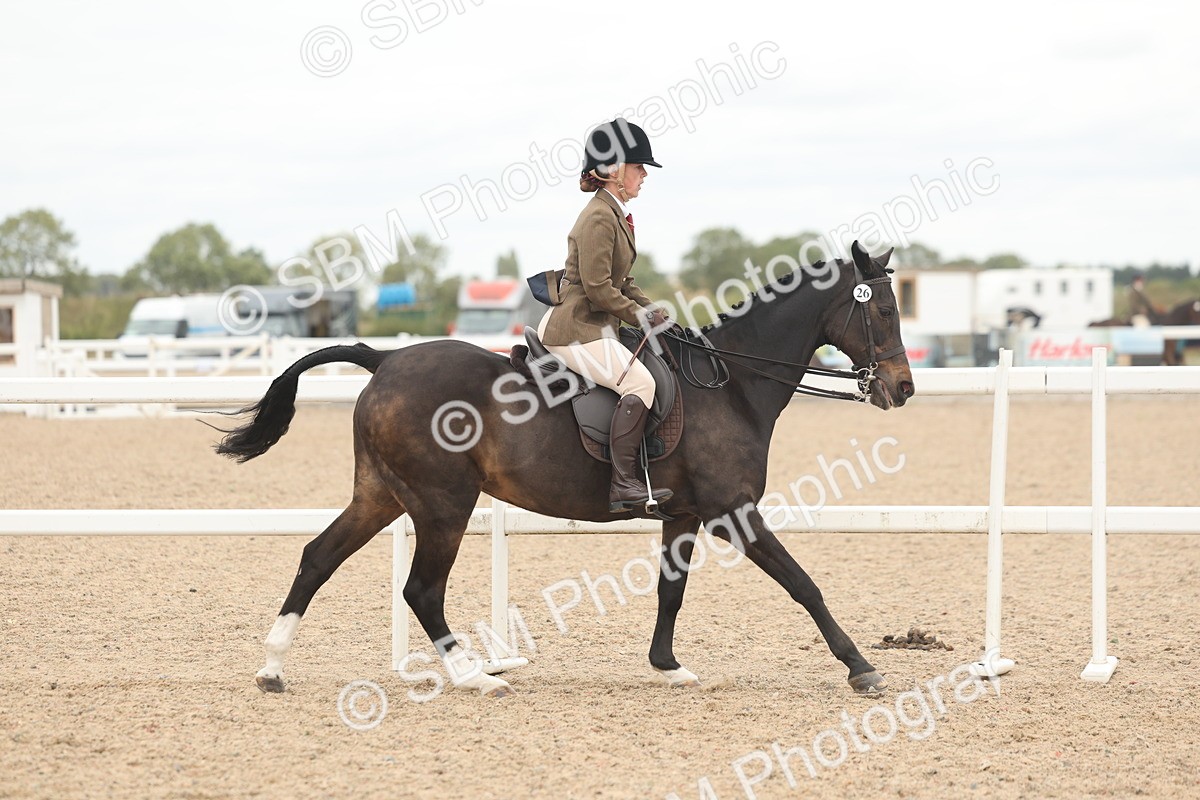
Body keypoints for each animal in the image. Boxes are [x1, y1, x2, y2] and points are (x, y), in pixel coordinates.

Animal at [215, 241, 915, 698]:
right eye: (882, 310)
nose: (902, 388)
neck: (734, 385)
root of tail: (384, 360)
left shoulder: (685, 513)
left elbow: (671, 590)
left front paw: (667, 665)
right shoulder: (732, 511)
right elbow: (804, 585)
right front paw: (861, 667)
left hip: (382, 496)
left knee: (317, 557)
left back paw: (273, 668)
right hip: (443, 504)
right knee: (422, 590)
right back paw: (474, 676)